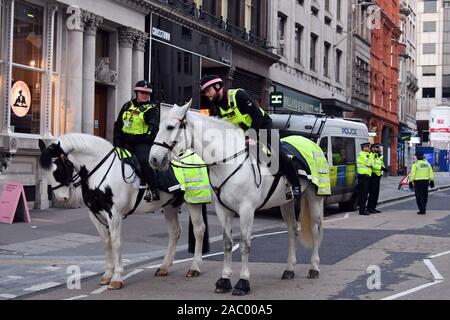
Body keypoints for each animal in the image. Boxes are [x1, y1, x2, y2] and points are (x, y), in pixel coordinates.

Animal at [38, 132, 207, 290]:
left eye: (57, 170)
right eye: (45, 171)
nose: (62, 198)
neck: (101, 170)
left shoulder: (114, 214)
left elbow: (116, 243)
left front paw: (117, 278)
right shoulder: (95, 214)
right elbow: (106, 243)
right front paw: (107, 275)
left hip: (193, 201)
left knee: (199, 230)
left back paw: (195, 267)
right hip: (170, 206)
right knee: (174, 232)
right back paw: (164, 267)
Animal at [149, 101, 326, 296]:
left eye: (170, 127)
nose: (153, 159)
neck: (228, 161)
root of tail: (311, 142)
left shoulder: (246, 210)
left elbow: (244, 244)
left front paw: (243, 282)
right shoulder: (223, 209)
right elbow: (227, 243)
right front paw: (224, 280)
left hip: (314, 198)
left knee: (315, 230)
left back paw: (314, 268)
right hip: (286, 203)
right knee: (292, 231)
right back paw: (289, 269)